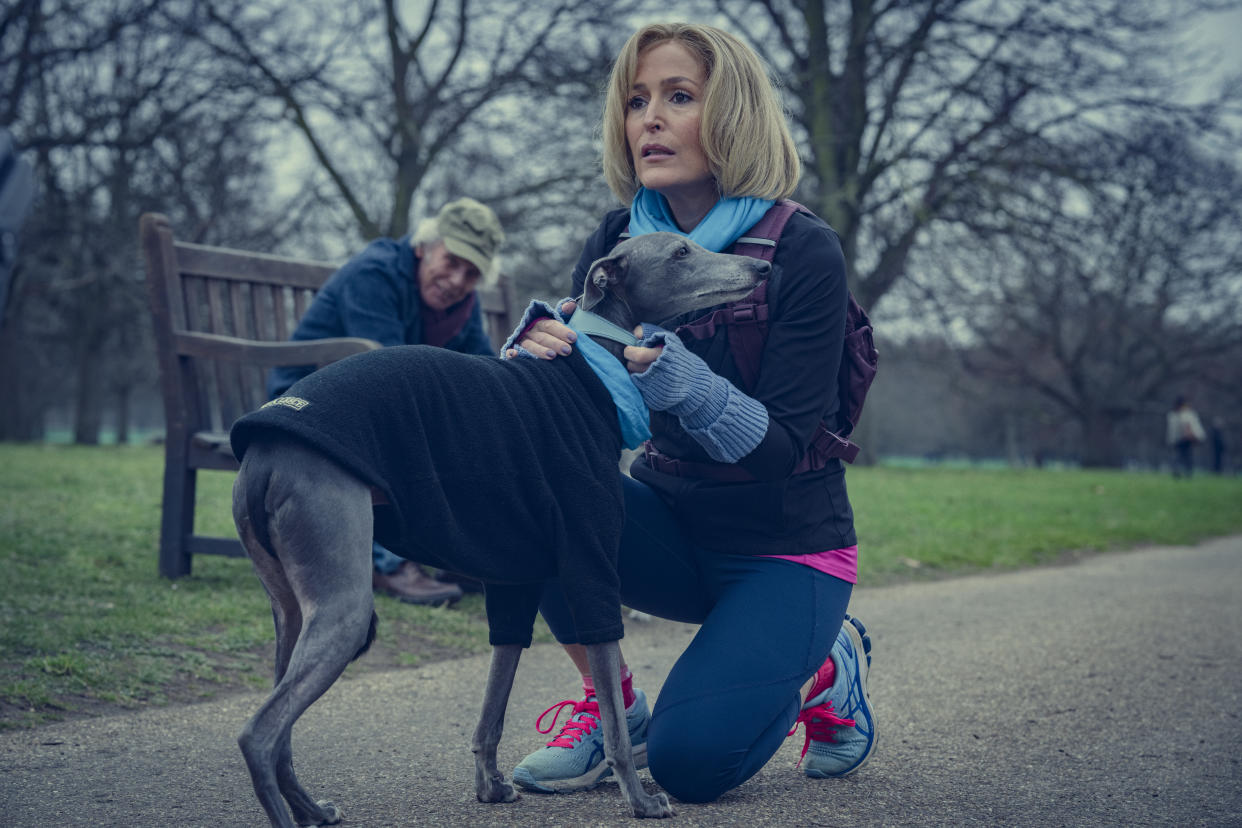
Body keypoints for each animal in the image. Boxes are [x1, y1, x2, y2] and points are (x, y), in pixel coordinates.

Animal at [224, 229, 765, 824]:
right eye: (680, 253)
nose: (761, 269)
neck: (593, 370)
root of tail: (266, 449)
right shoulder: (589, 564)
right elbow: (614, 719)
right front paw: (640, 800)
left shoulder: (515, 580)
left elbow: (492, 706)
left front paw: (490, 787)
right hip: (344, 606)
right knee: (259, 733)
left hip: (290, 611)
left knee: (280, 730)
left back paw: (313, 810)